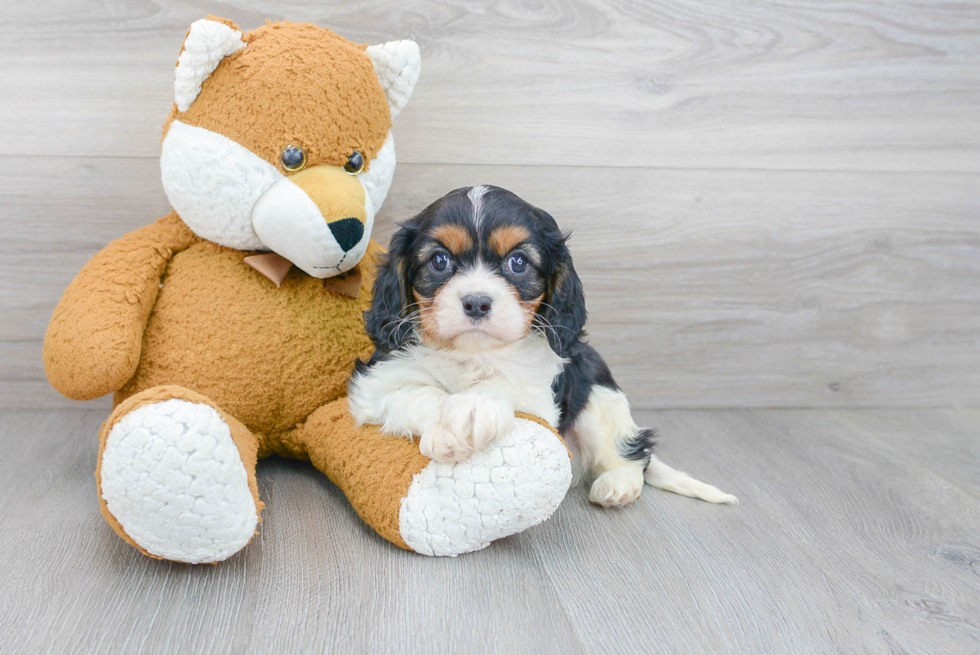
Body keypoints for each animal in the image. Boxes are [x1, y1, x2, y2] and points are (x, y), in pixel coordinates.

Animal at [346, 184, 736, 508]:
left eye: (518, 263)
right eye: (439, 261)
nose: (476, 302)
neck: (472, 354)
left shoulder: (541, 399)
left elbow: (503, 384)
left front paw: (472, 408)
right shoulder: (375, 384)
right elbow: (416, 392)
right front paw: (451, 424)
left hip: (597, 398)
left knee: (631, 453)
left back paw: (617, 485)